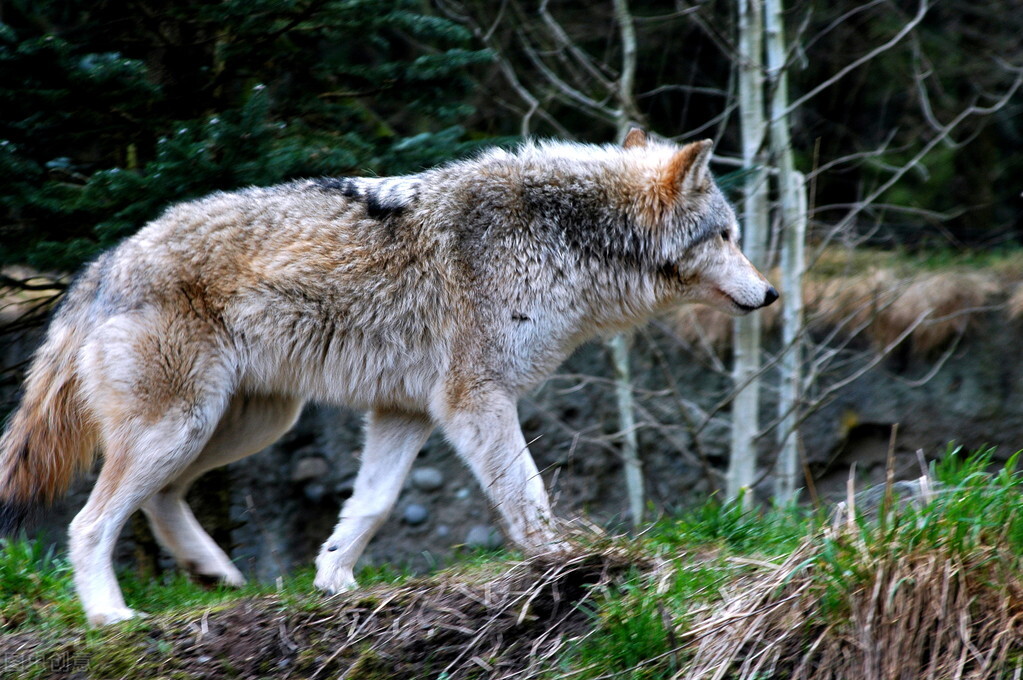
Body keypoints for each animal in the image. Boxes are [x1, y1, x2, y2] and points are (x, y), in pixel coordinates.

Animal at [0, 128, 773, 625]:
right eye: (728, 236)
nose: (768, 294)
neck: (560, 239)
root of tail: (103, 262)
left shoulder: (407, 412)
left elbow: (369, 506)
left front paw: (335, 580)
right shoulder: (473, 400)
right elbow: (527, 494)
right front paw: (567, 563)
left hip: (242, 423)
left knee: (162, 499)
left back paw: (210, 571)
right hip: (184, 425)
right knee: (89, 523)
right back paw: (110, 615)